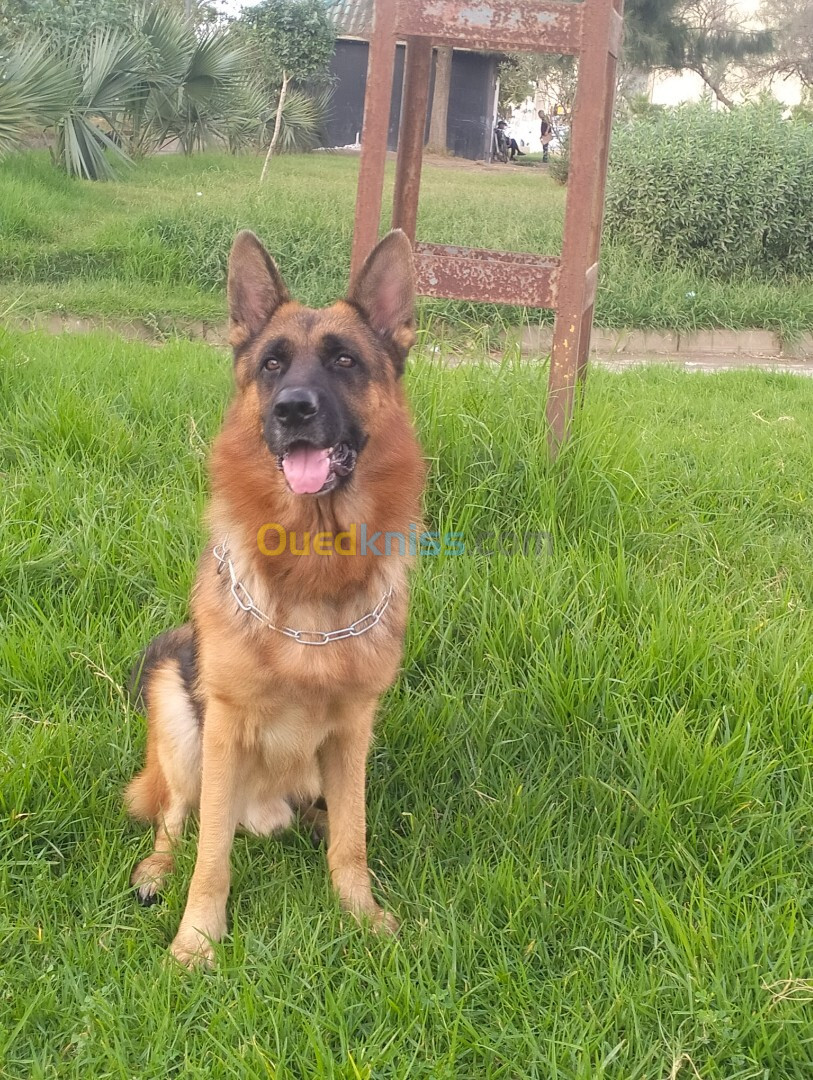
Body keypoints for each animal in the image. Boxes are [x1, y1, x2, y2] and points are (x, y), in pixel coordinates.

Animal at [126, 230, 425, 972]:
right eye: (271, 364)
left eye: (345, 360)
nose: (293, 409)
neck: (312, 570)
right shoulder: (225, 727)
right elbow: (211, 857)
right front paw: (197, 941)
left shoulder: (352, 731)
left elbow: (352, 841)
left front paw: (361, 916)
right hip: (175, 701)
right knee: (175, 818)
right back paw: (155, 872)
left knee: (324, 820)